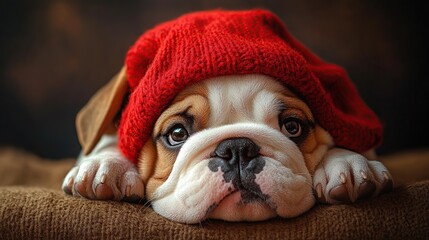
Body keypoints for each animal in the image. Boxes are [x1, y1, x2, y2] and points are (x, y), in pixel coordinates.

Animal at [61, 69, 392, 223]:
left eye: (292, 127)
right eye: (177, 133)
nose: (238, 149)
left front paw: (348, 163)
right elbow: (108, 139)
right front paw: (107, 166)